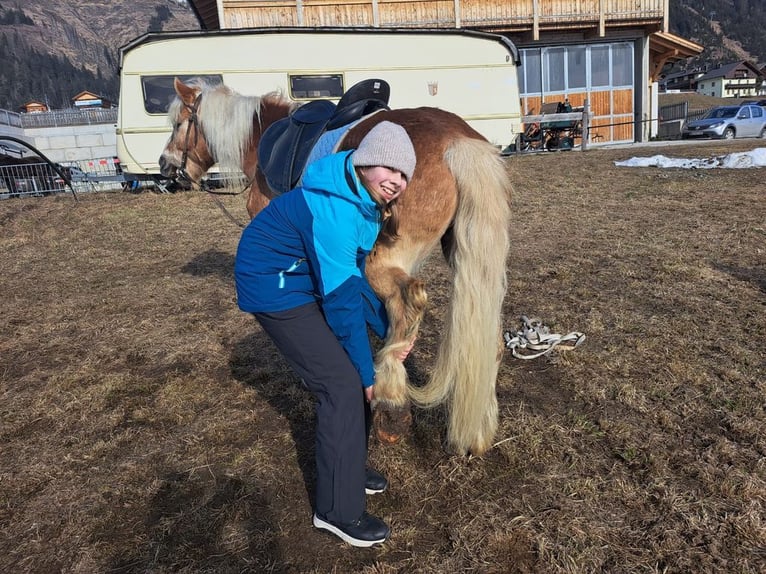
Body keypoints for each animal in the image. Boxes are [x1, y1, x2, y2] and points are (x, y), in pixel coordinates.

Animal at [159, 79, 512, 456]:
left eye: (178, 124)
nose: (164, 166)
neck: (263, 137)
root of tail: (457, 139)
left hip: (384, 262)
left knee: (408, 300)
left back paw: (390, 404)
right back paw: (476, 431)